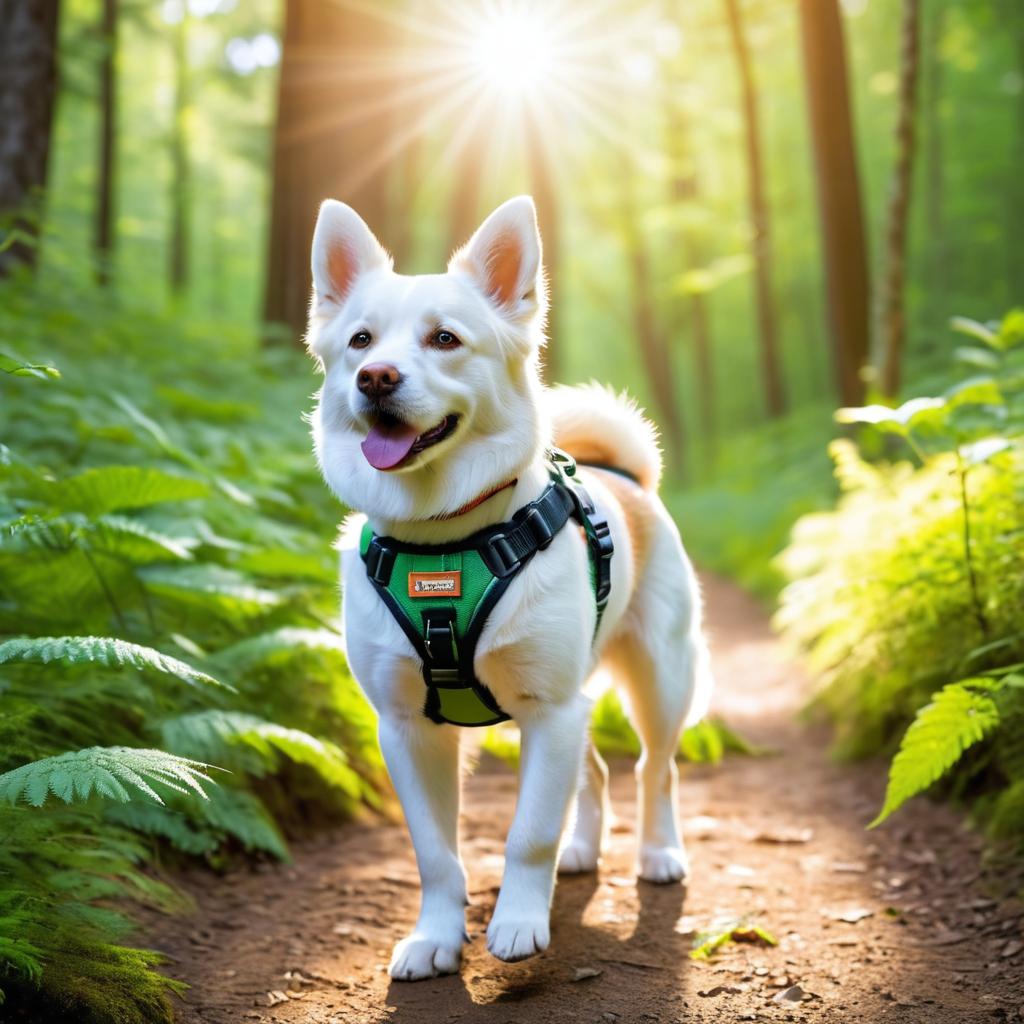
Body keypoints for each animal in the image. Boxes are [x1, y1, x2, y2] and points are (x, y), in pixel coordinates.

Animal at [307, 193, 716, 983]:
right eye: (360, 340)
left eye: (444, 339)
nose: (375, 377)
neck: (444, 539)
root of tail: (624, 477)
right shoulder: (407, 728)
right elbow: (436, 854)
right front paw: (435, 937)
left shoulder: (548, 711)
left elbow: (528, 835)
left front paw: (519, 924)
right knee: (595, 771)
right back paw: (583, 849)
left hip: (660, 679)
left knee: (654, 771)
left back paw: (658, 853)